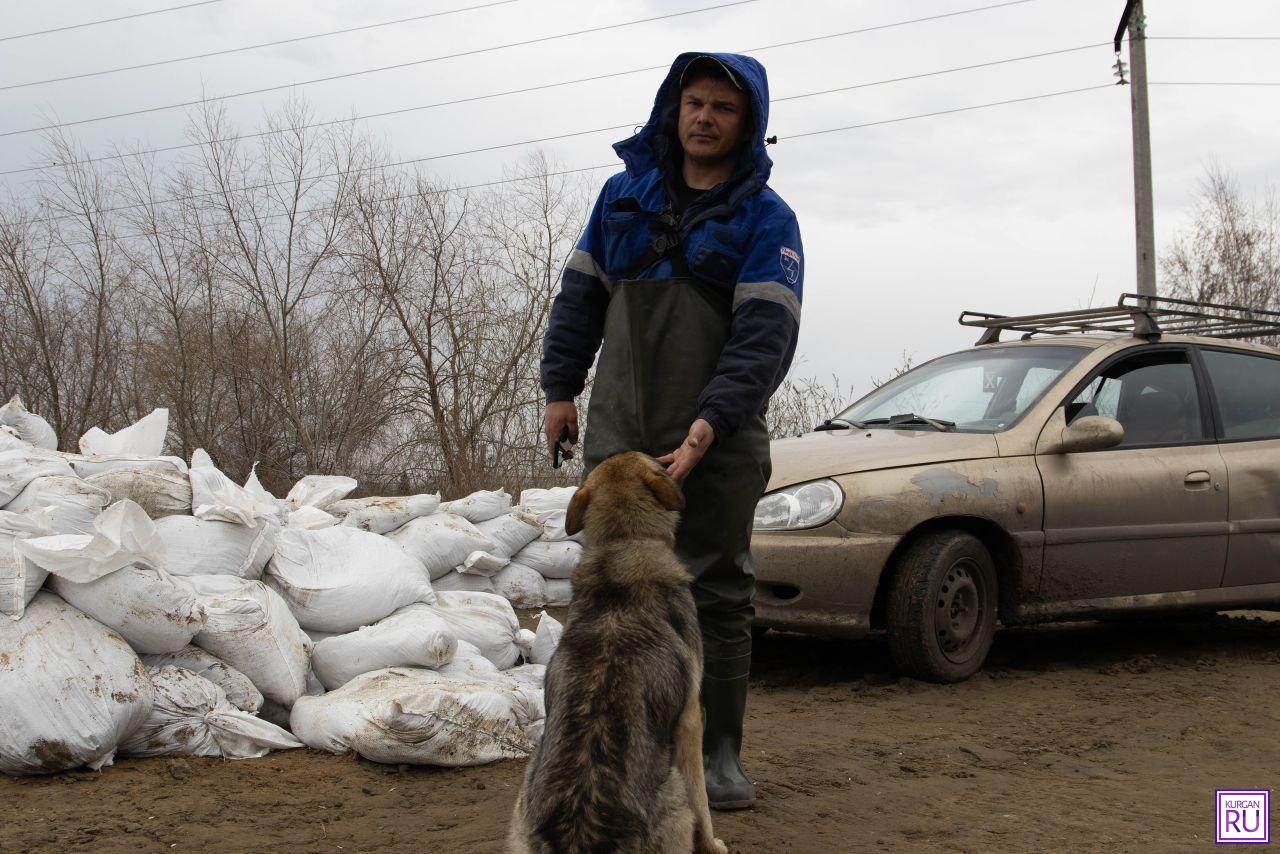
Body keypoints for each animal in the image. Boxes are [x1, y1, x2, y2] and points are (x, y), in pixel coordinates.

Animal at [509, 450, 732, 850]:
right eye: (654, 461)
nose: (670, 458)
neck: (623, 543)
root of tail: (578, 831)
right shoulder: (691, 717)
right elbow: (702, 801)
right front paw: (714, 845)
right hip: (673, 794)